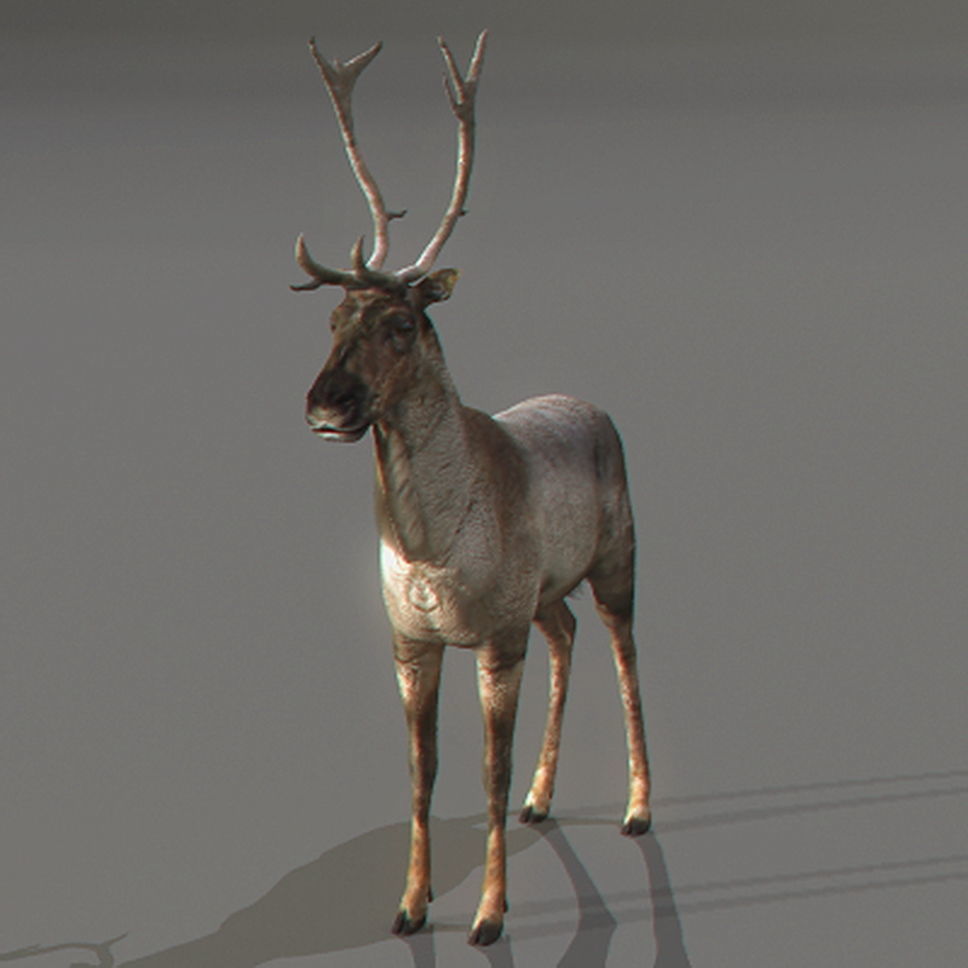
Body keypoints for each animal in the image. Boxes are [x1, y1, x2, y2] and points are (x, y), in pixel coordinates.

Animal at [291, 31, 652, 946]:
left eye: (400, 322)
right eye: (332, 319)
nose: (325, 405)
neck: (431, 547)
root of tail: (595, 406)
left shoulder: (496, 635)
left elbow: (486, 769)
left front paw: (490, 916)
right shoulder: (411, 640)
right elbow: (423, 771)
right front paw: (410, 905)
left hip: (619, 559)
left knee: (626, 653)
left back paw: (637, 809)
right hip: (546, 593)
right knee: (568, 634)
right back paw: (541, 800)